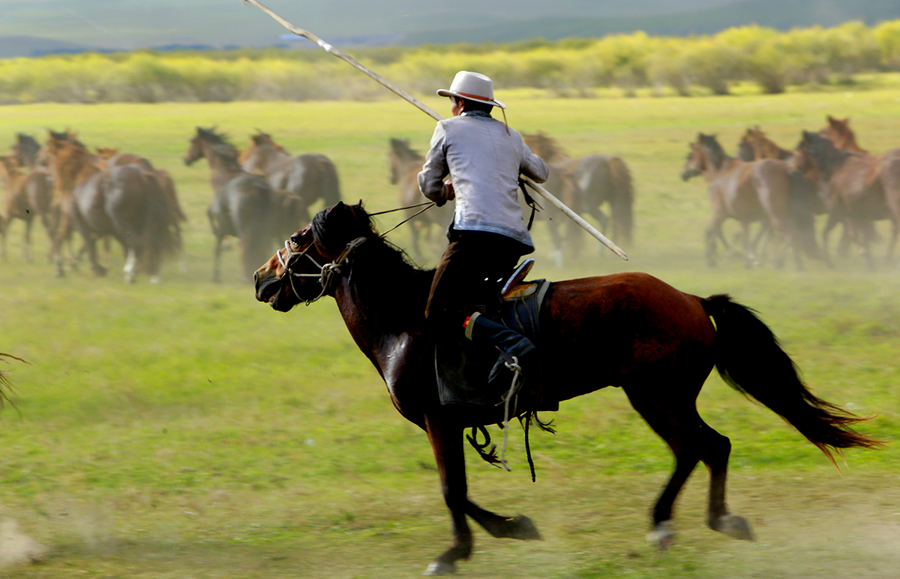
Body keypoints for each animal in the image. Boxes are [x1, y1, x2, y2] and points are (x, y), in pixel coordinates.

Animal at [253, 202, 880, 576]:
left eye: (298, 236)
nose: (261, 278)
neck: (404, 321)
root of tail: (692, 300)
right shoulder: (456, 424)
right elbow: (461, 491)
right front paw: (511, 528)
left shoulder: (439, 420)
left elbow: (452, 492)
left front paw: (458, 551)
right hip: (664, 396)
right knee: (708, 447)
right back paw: (705, 521)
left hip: (654, 395)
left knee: (700, 447)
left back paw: (671, 524)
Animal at [684, 134, 824, 270]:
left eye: (690, 154)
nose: (683, 174)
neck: (721, 172)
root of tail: (787, 169)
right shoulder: (744, 219)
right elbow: (744, 238)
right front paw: (749, 261)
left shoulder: (720, 213)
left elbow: (709, 231)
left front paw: (710, 260)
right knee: (790, 234)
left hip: (777, 214)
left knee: (790, 232)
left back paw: (789, 263)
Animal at [796, 131, 900, 270]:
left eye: (801, 150)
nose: (797, 168)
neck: (835, 169)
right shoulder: (857, 215)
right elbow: (860, 236)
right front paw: (869, 260)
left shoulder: (837, 212)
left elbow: (829, 234)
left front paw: (830, 262)